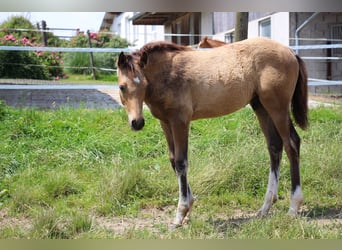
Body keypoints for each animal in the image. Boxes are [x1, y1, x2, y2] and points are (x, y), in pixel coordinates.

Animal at [116, 37, 308, 229]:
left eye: (144, 84)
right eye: (122, 87)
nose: (137, 123)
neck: (168, 74)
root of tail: (290, 51)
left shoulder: (180, 121)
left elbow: (181, 162)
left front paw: (181, 213)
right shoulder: (165, 122)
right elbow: (173, 160)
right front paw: (188, 209)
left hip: (278, 108)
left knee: (291, 144)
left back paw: (293, 207)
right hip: (260, 106)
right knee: (275, 146)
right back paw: (265, 208)